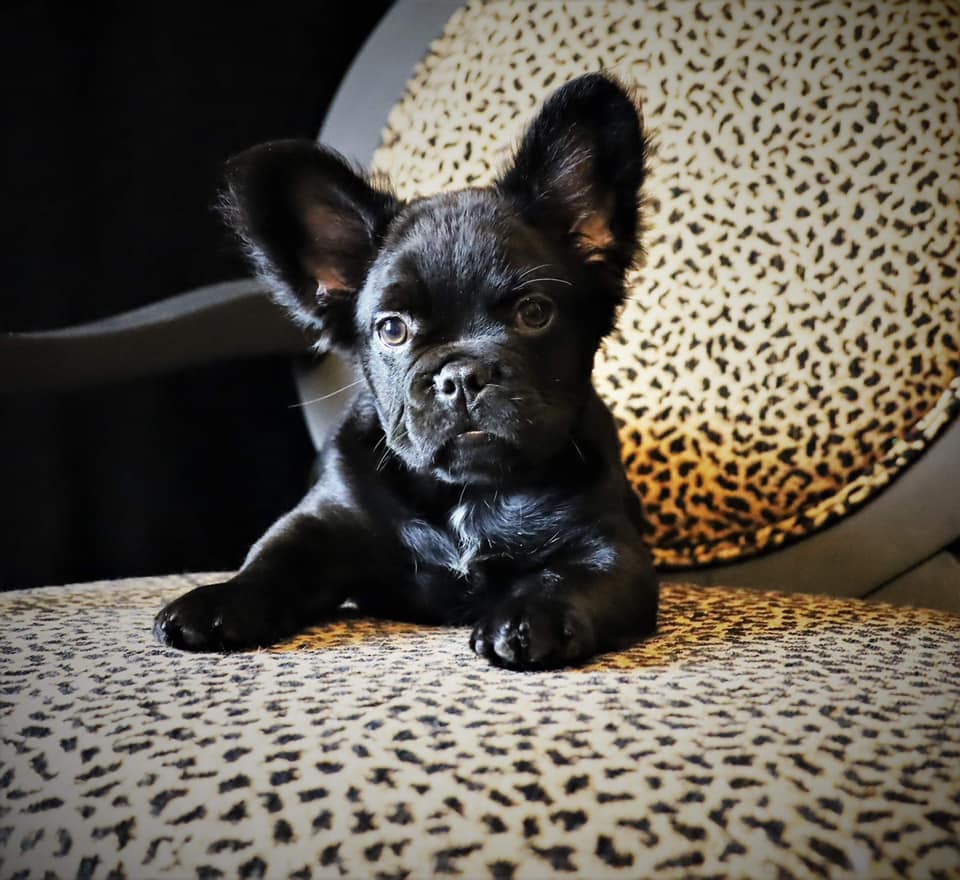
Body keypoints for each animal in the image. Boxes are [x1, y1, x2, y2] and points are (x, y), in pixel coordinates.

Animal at [154, 74, 660, 668]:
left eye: (535, 313)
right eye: (392, 329)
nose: (461, 376)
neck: (466, 495)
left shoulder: (610, 548)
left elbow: (571, 576)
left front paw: (529, 617)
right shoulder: (321, 522)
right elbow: (271, 558)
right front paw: (218, 600)